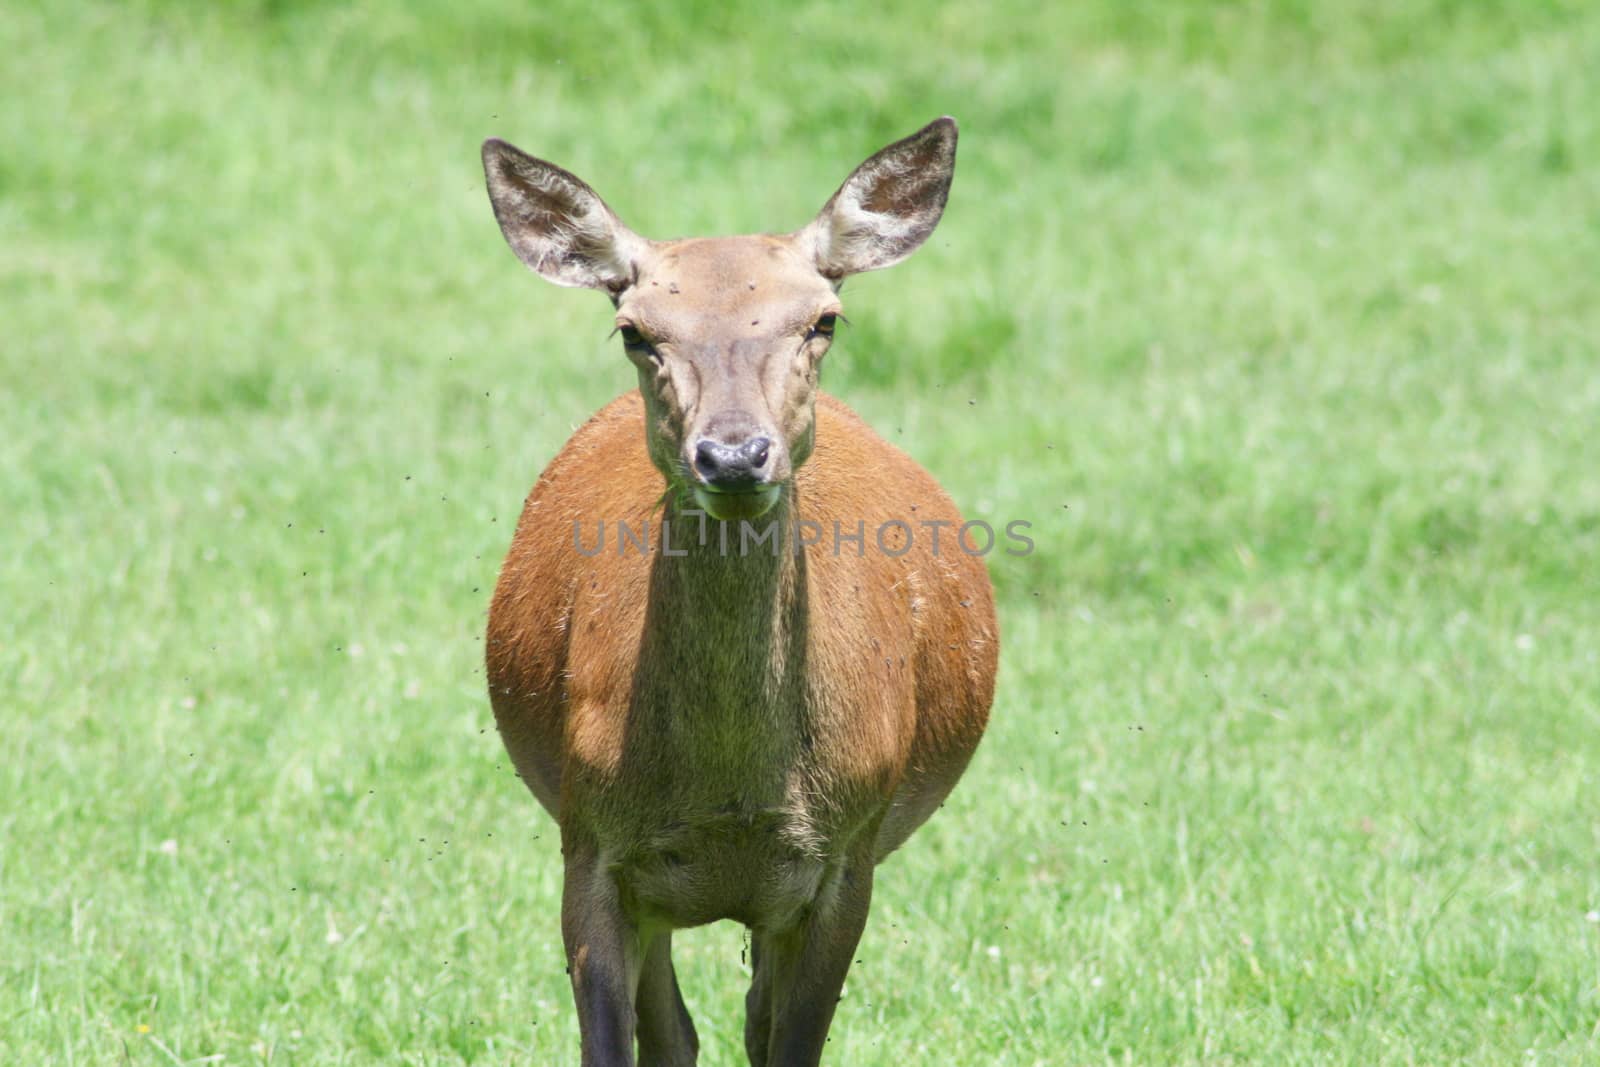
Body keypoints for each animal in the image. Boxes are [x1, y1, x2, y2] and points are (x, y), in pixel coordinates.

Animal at [480, 116, 992, 1067]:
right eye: (635, 329)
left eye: (823, 319)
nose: (733, 454)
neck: (731, 796)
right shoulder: (589, 843)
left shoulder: (848, 851)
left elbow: (786, 1041)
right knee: (676, 1028)